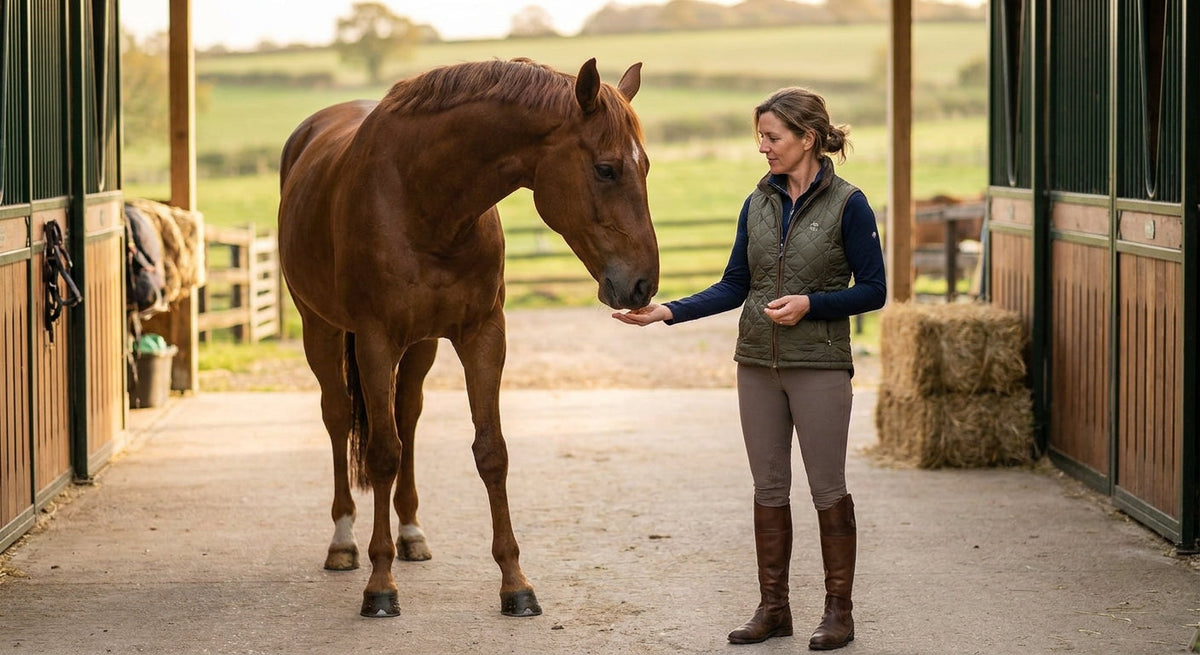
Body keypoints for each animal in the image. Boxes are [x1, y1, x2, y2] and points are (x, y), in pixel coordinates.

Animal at [277, 57, 659, 619]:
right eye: (606, 169)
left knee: (407, 417)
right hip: (319, 329)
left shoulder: (482, 334)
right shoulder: (374, 339)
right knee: (338, 418)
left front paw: (515, 584)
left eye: (645, 166)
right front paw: (380, 587)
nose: (642, 284)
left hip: (420, 346)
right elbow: (382, 454)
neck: (424, 199)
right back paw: (343, 542)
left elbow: (490, 450)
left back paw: (411, 533)